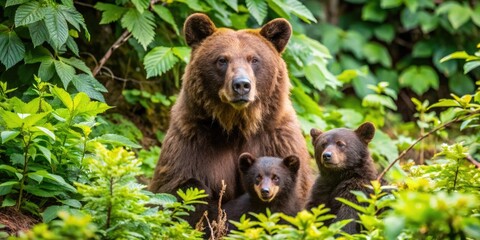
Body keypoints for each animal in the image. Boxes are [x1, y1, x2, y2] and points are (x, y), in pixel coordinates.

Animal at [150, 12, 316, 223]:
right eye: (222, 59)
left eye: (254, 59)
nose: (241, 85)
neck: (237, 125)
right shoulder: (193, 138)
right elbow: (176, 187)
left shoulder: (276, 139)